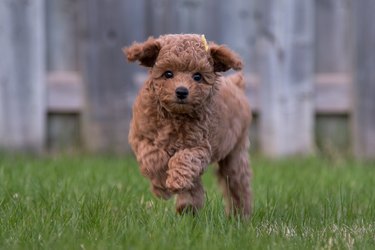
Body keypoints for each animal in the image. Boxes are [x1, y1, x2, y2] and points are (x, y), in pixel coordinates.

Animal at [124, 33, 253, 217]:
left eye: (197, 76)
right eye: (168, 73)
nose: (182, 91)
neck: (175, 115)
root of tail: (236, 84)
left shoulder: (199, 146)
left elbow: (184, 159)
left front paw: (174, 182)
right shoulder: (140, 136)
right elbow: (152, 156)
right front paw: (161, 185)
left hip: (235, 152)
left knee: (238, 185)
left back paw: (240, 215)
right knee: (197, 184)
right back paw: (188, 207)